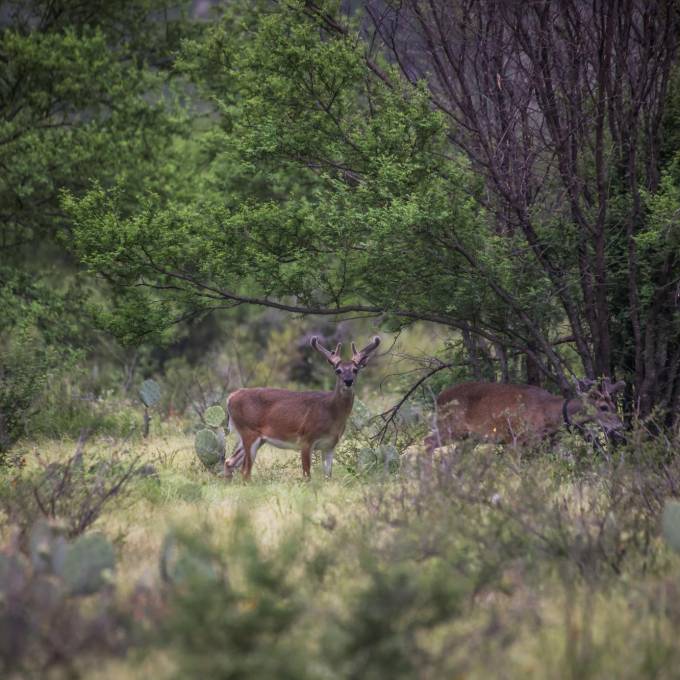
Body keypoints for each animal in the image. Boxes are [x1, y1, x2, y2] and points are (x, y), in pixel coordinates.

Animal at [224, 334, 380, 478]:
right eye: (338, 370)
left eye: (355, 369)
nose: (348, 381)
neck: (331, 413)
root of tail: (230, 398)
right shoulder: (306, 439)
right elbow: (307, 475)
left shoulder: (329, 445)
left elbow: (328, 476)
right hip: (249, 431)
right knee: (245, 470)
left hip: (254, 437)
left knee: (230, 462)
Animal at [424, 378, 628, 452]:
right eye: (603, 407)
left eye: (613, 405)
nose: (621, 425)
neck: (549, 413)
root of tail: (438, 398)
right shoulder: (517, 439)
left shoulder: (550, 442)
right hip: (452, 427)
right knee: (428, 442)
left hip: (469, 437)